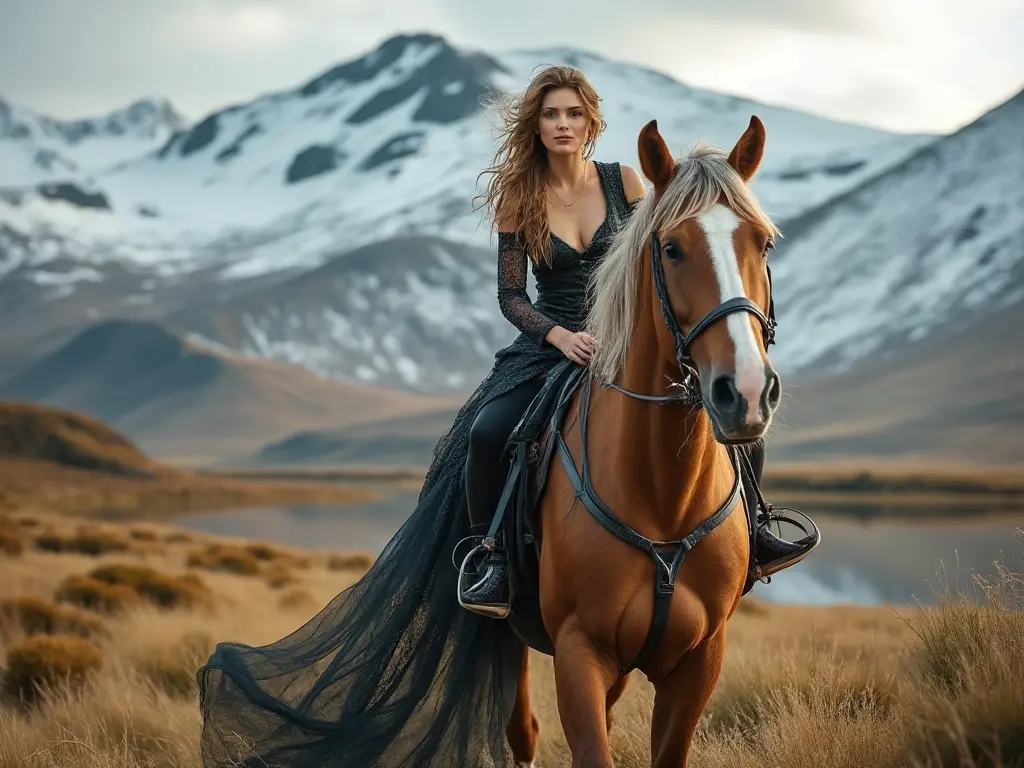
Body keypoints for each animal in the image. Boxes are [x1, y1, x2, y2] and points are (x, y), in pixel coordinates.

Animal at [503, 115, 782, 768]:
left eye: (763, 243)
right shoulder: (579, 652)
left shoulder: (699, 659)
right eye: (672, 248)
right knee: (520, 725)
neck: (662, 497)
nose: (745, 391)